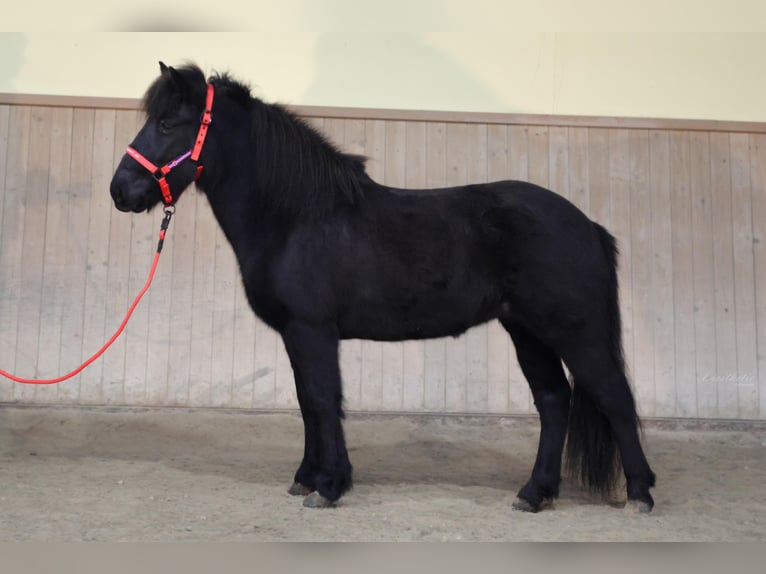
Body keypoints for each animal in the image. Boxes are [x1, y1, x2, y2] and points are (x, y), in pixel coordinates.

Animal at [111, 63, 656, 512]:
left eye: (167, 124)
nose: (121, 190)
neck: (295, 217)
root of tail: (587, 224)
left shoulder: (312, 329)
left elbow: (323, 399)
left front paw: (329, 486)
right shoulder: (296, 334)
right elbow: (307, 401)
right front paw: (309, 476)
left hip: (573, 332)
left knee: (613, 397)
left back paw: (640, 493)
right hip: (528, 331)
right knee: (553, 400)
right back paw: (534, 493)